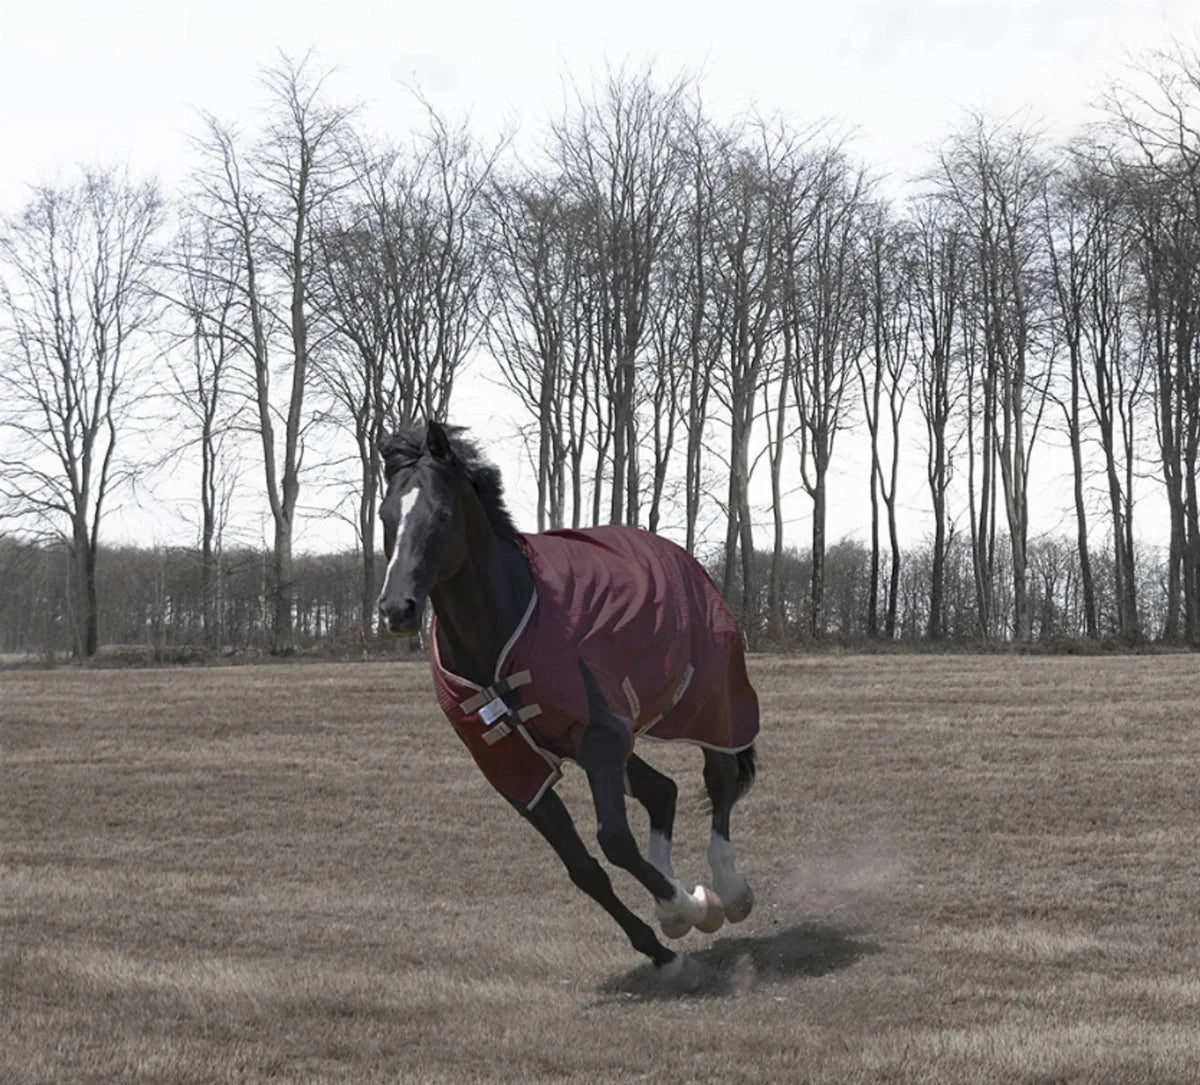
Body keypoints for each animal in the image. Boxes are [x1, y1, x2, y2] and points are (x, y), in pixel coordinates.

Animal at [376, 421, 760, 975]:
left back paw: (728, 891)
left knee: (721, 777)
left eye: (442, 514)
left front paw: (694, 906)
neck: (499, 638)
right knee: (662, 791)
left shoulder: (599, 738)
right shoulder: (517, 769)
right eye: (386, 515)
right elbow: (584, 868)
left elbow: (614, 842)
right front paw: (661, 945)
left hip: (708, 702)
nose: (396, 609)